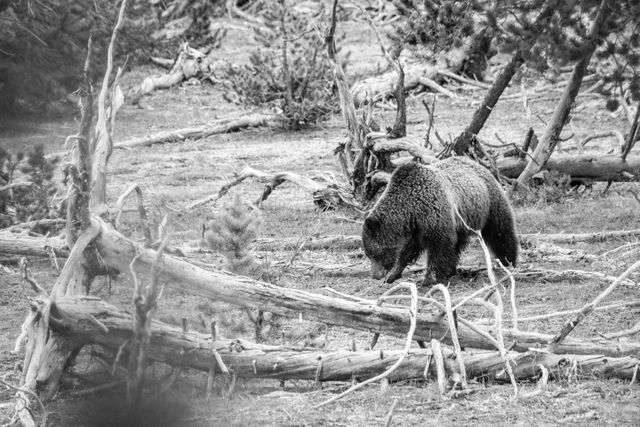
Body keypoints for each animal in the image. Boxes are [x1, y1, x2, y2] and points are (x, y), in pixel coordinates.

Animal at [362, 157, 516, 284]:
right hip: (462, 219)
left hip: (490, 203)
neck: (411, 207)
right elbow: (409, 249)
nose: (375, 275)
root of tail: (477, 163)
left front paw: (429, 278)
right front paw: (393, 275)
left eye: (374, 254)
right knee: (458, 243)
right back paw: (452, 270)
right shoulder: (418, 227)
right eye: (368, 254)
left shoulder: (435, 213)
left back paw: (509, 261)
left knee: (501, 232)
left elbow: (439, 247)